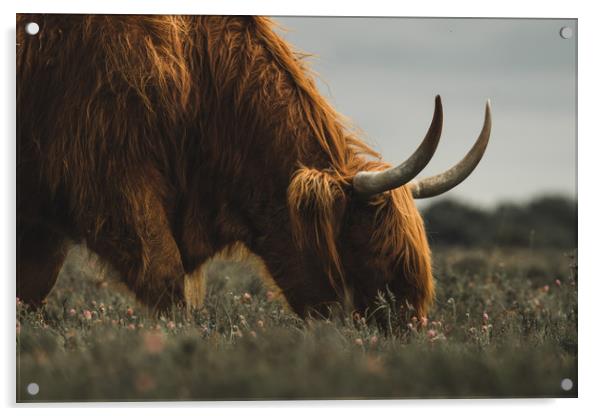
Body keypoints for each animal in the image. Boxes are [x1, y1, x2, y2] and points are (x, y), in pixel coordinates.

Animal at [16, 13, 490, 318]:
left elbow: (31, 291)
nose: (404, 339)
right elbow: (165, 279)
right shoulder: (109, 181)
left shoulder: (44, 219)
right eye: (370, 257)